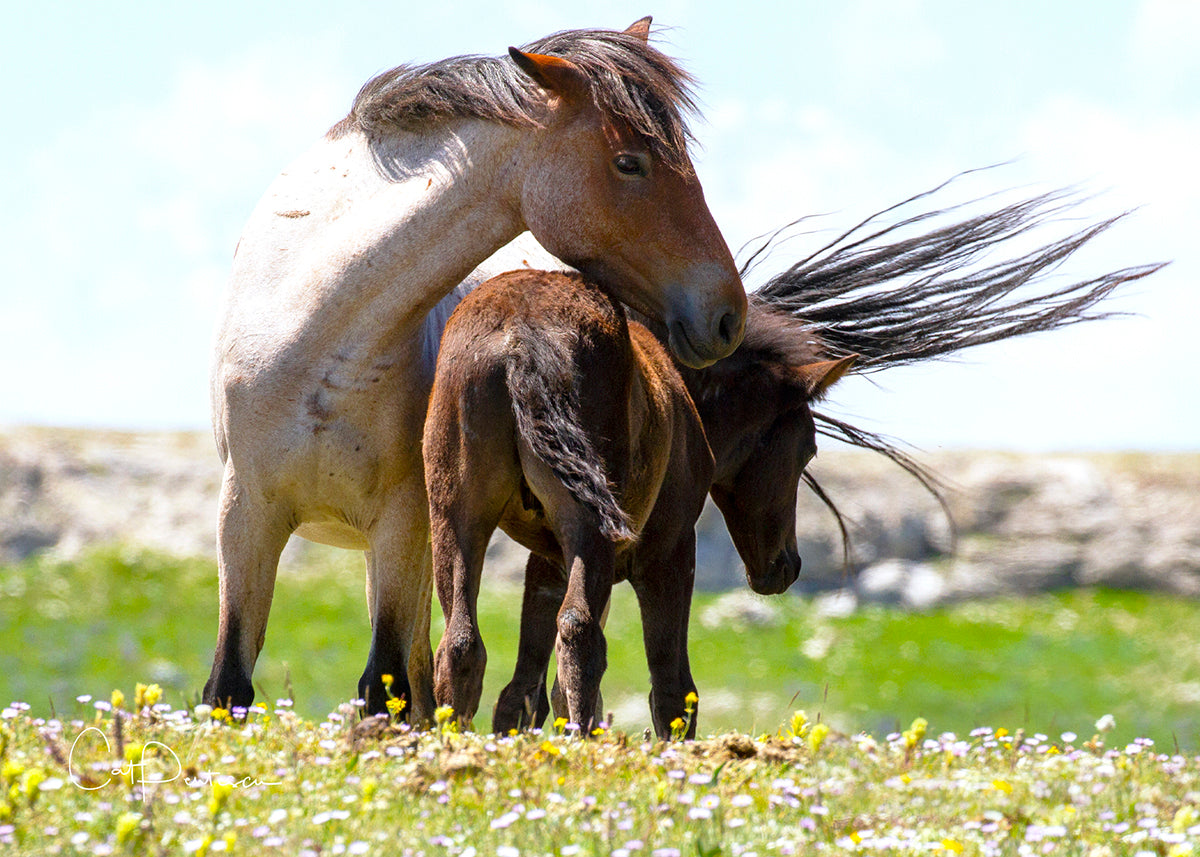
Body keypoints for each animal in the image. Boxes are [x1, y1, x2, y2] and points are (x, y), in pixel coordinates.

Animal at [206, 18, 748, 720]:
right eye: (631, 161)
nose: (726, 314)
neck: (316, 337)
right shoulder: (245, 517)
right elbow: (230, 683)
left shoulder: (402, 526)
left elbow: (385, 684)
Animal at [420, 183, 1161, 739]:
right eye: (807, 446)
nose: (787, 567)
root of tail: (521, 340)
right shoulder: (667, 555)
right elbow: (669, 687)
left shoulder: (547, 558)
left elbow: (522, 688)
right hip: (586, 532)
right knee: (579, 639)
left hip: (457, 519)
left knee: (461, 642)